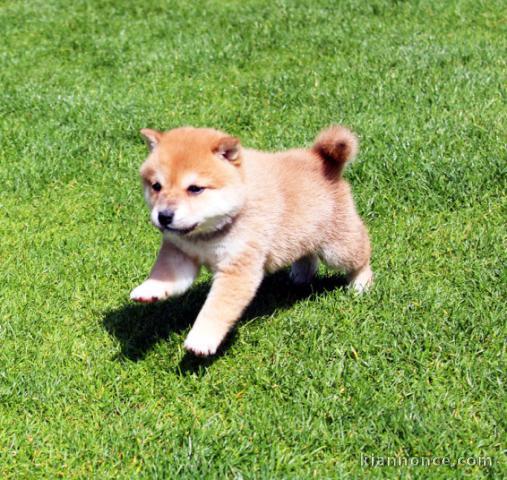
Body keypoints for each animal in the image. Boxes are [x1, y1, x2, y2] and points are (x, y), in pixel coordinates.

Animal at [131, 125, 374, 354]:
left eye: (195, 189)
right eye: (156, 186)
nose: (164, 216)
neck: (207, 234)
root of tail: (322, 158)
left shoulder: (238, 268)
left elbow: (216, 309)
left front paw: (201, 339)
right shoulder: (181, 252)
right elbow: (166, 274)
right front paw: (149, 290)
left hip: (337, 248)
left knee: (361, 254)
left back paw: (361, 284)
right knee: (307, 254)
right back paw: (301, 276)